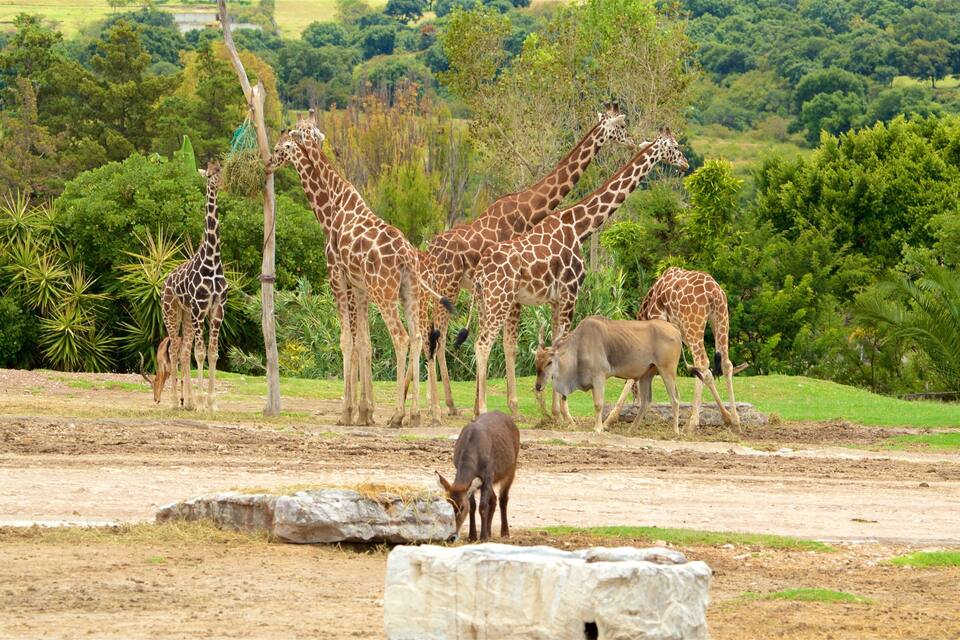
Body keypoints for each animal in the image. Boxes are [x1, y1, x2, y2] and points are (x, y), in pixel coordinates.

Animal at [159, 159, 228, 411]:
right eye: (209, 174)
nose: (219, 183)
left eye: (221, 170)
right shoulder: (200, 308)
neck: (213, 261)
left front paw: (212, 403)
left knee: (183, 351)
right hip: (171, 312)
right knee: (173, 349)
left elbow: (212, 353)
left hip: (187, 315)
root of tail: (164, 283)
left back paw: (186, 402)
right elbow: (200, 353)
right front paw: (201, 404)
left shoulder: (217, 308)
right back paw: (173, 402)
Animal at [267, 117, 452, 428]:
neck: (330, 208)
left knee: (401, 338)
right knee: (418, 338)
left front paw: (348, 413)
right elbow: (364, 342)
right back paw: (415, 414)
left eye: (280, 147)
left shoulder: (338, 278)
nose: (267, 162)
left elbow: (347, 341)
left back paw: (399, 414)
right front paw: (365, 412)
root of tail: (408, 257)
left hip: (385, 292)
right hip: (410, 294)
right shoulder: (360, 287)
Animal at [404, 105, 635, 425]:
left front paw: (486, 406)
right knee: (435, 338)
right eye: (621, 126)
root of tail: (428, 251)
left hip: (439, 291)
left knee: (426, 334)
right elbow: (508, 344)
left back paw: (433, 404)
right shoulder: (511, 292)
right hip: (448, 286)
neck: (528, 209)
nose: (633, 142)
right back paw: (436, 407)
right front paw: (510, 408)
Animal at [466, 129, 689, 420]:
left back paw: (478, 409)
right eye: (674, 147)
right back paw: (483, 409)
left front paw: (555, 413)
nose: (685, 163)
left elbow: (554, 345)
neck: (579, 227)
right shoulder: (571, 292)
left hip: (486, 302)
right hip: (499, 300)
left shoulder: (556, 299)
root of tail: (480, 272)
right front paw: (565, 415)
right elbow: (562, 346)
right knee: (483, 343)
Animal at [632, 266, 747, 432]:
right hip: (721, 318)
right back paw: (736, 422)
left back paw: (691, 424)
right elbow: (708, 374)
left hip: (693, 325)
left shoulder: (659, 320)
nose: (635, 400)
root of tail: (714, 291)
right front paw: (727, 417)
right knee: (725, 364)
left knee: (702, 362)